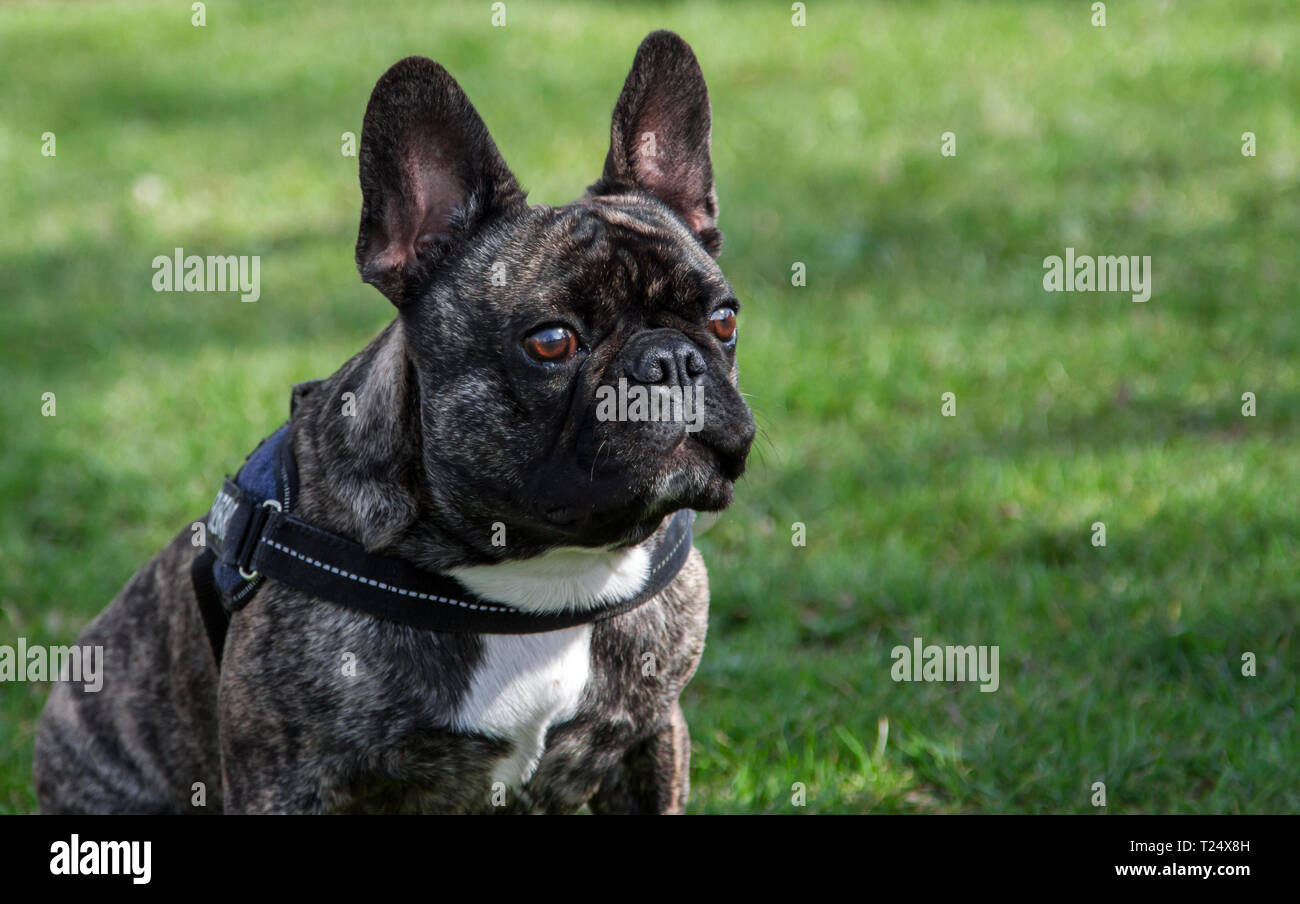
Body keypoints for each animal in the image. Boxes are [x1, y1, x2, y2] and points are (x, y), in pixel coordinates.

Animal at [32, 31, 754, 816]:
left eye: (724, 319)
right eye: (551, 342)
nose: (672, 360)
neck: (543, 570)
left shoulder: (652, 734)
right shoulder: (288, 780)